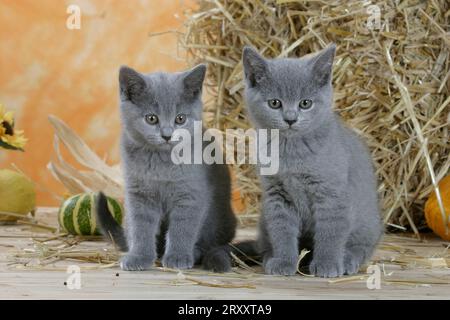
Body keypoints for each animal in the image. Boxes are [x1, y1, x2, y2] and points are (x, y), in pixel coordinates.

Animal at [96, 64, 237, 272]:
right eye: (151, 118)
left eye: (180, 119)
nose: (167, 135)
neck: (161, 162)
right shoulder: (139, 195)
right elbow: (141, 227)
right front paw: (139, 256)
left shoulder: (190, 194)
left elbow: (182, 228)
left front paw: (178, 257)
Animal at [241, 45, 382, 278]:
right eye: (275, 103)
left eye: (305, 103)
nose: (290, 118)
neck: (291, 151)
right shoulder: (277, 195)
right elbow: (282, 231)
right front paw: (284, 262)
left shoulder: (331, 195)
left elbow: (330, 233)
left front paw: (327, 264)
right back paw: (271, 257)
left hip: (367, 222)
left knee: (362, 247)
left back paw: (347, 260)